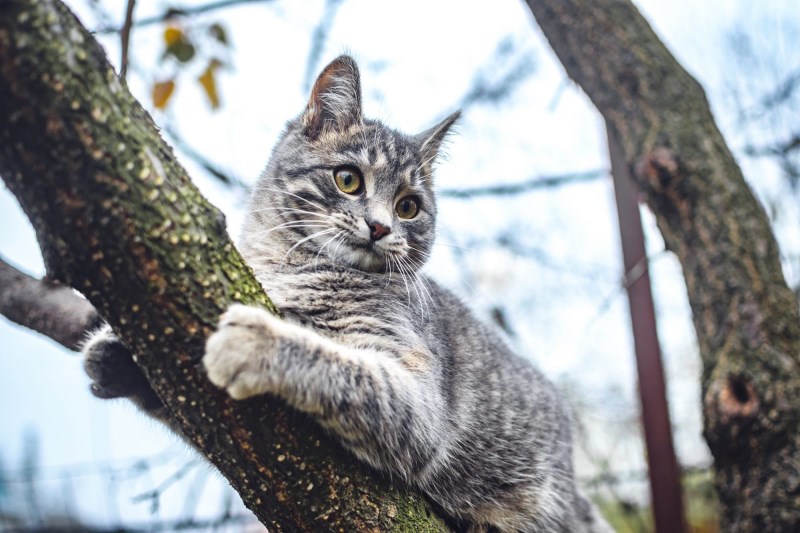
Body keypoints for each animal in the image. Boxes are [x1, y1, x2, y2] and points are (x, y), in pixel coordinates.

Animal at [81, 55, 608, 532]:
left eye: (409, 207)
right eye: (348, 179)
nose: (380, 226)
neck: (287, 264)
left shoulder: (416, 402)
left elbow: (345, 369)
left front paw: (258, 341)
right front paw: (114, 354)